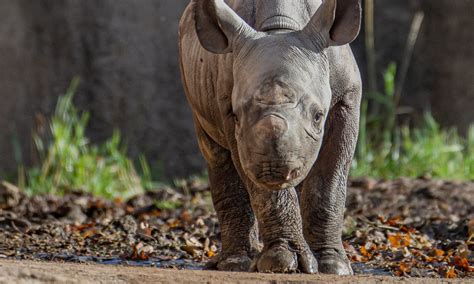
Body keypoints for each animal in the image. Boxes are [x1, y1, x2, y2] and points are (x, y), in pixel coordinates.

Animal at [180, 0, 362, 276]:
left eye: (318, 116)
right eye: (236, 116)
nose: (273, 169)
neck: (281, 29)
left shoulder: (347, 97)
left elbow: (329, 182)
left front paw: (333, 266)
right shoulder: (228, 108)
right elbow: (263, 190)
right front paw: (282, 263)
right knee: (215, 153)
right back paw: (236, 263)